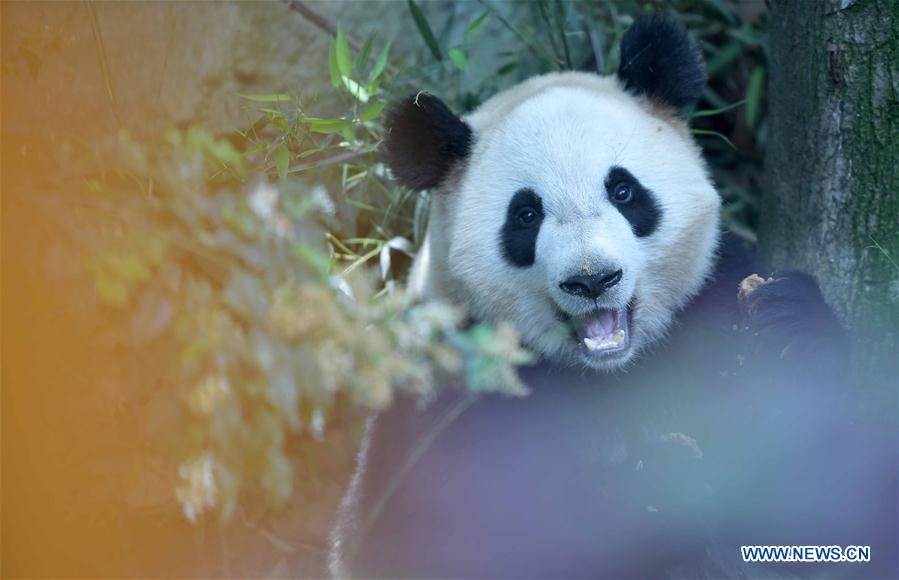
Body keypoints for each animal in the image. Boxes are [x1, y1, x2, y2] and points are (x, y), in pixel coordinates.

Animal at [329, 16, 895, 579]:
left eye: (623, 191)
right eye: (525, 215)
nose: (592, 280)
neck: (608, 372)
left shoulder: (707, 306)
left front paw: (786, 322)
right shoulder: (449, 378)